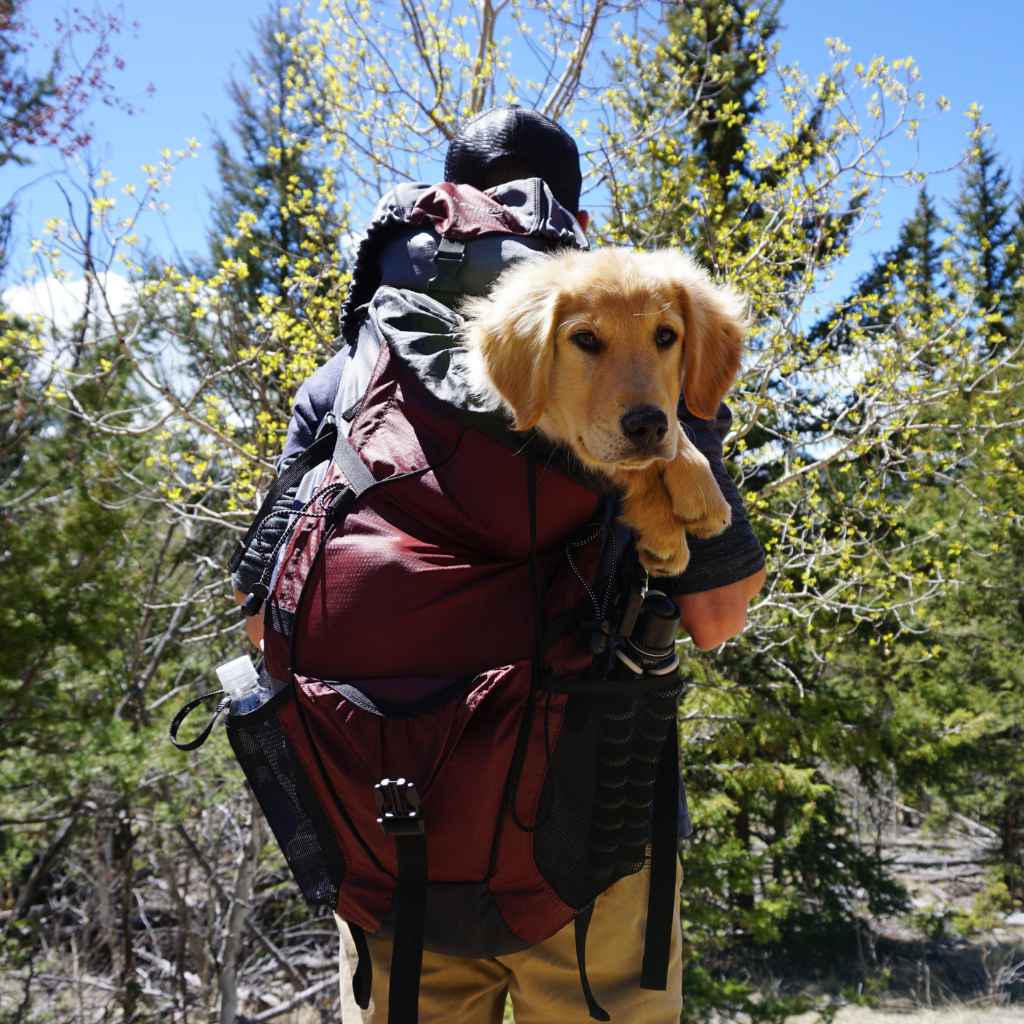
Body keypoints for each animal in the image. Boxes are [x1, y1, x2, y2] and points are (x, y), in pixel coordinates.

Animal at [462, 243, 745, 573]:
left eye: (666, 335)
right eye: (585, 338)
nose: (648, 425)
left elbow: (671, 434)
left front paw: (700, 486)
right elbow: (618, 464)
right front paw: (665, 528)